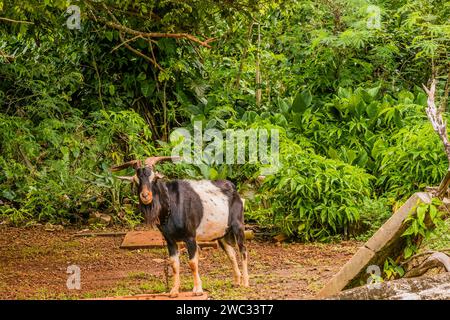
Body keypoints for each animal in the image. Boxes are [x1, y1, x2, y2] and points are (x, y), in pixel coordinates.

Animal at [110, 158, 248, 298]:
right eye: (136, 180)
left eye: (154, 179)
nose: (145, 196)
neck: (172, 204)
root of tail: (233, 189)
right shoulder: (170, 240)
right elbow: (174, 264)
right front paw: (174, 291)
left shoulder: (190, 237)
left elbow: (192, 262)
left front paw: (198, 290)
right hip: (222, 234)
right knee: (231, 253)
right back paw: (237, 281)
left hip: (238, 226)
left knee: (243, 250)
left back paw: (245, 283)